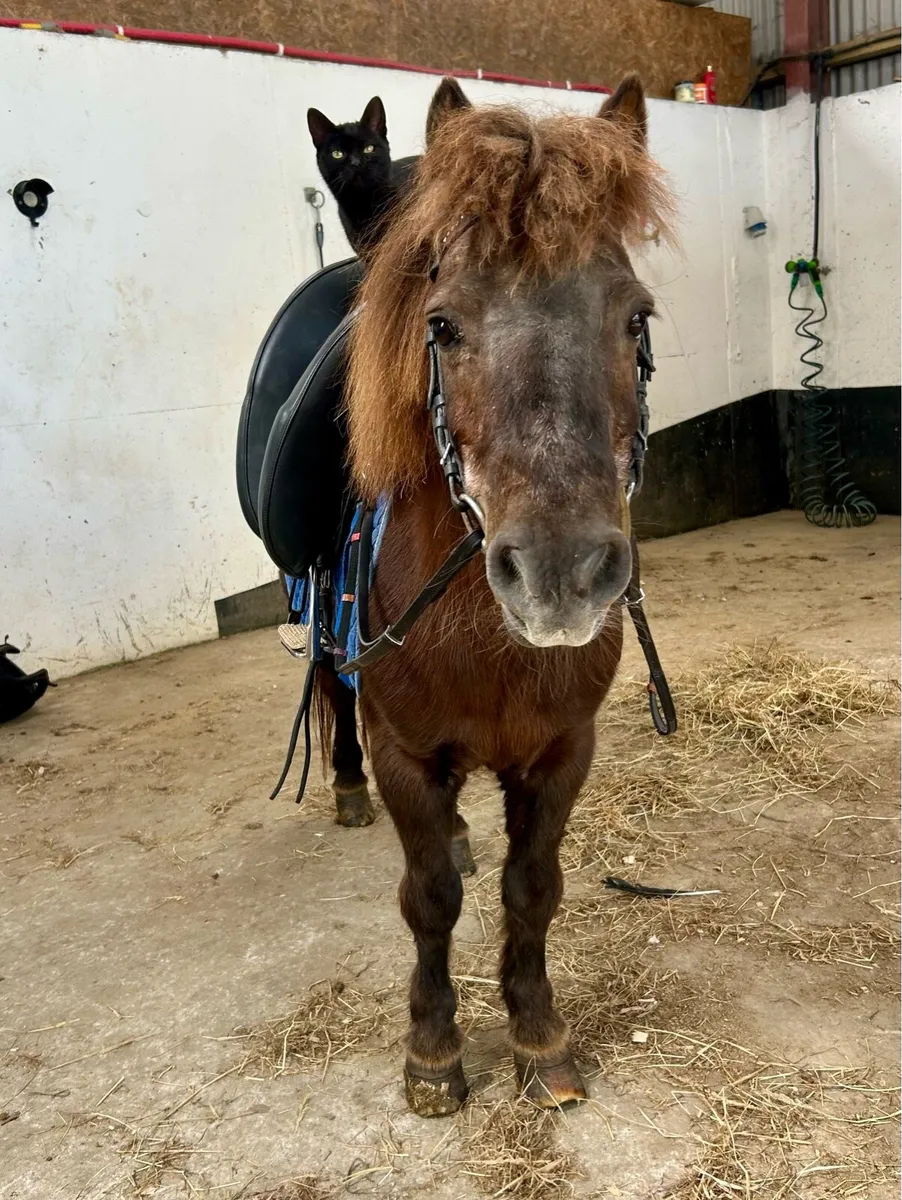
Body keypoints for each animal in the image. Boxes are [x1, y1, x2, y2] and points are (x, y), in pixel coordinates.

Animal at [315, 73, 674, 1116]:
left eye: (636, 317)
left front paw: (538, 1034)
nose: (560, 573)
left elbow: (532, 888)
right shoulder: (404, 754)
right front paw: (432, 1050)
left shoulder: (560, 752)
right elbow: (430, 896)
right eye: (443, 324)